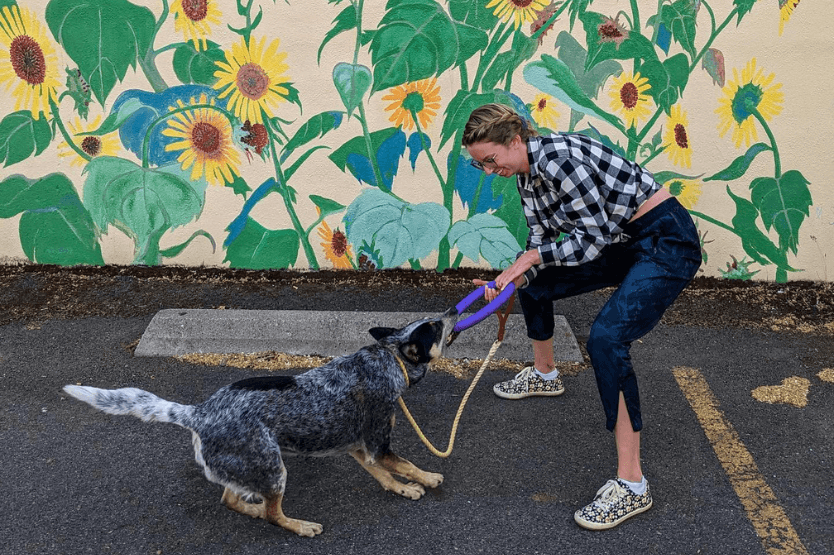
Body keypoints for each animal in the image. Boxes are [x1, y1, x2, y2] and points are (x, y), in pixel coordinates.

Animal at [62, 308, 458, 540]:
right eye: (435, 326)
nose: (453, 309)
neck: (389, 359)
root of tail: (197, 413)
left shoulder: (358, 446)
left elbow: (384, 475)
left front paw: (403, 489)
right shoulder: (377, 443)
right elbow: (405, 464)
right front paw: (426, 478)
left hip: (252, 467)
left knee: (230, 498)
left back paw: (250, 503)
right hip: (274, 466)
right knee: (273, 515)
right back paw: (299, 525)